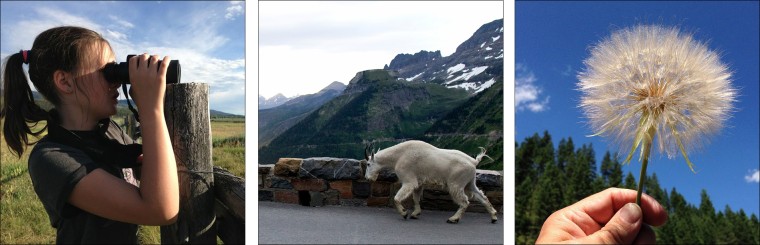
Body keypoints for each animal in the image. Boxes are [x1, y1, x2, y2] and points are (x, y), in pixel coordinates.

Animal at [364, 140, 498, 224]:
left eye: (369, 164)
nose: (367, 178)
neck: (398, 156)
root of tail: (474, 162)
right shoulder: (418, 183)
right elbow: (416, 198)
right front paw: (415, 214)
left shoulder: (409, 180)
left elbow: (397, 198)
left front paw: (404, 213)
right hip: (470, 183)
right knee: (482, 197)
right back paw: (493, 217)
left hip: (456, 184)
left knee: (465, 202)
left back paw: (453, 219)